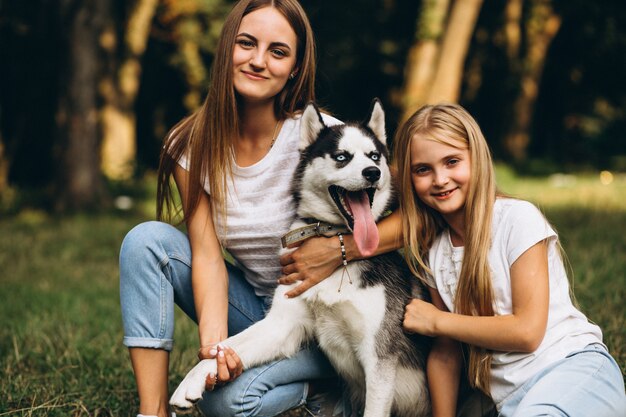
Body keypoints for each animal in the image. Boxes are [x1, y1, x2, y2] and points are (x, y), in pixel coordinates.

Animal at [173, 100, 432, 416]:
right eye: (342, 157)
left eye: (374, 156)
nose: (373, 172)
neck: (339, 259)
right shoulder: (281, 325)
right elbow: (230, 344)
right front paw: (192, 379)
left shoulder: (379, 357)